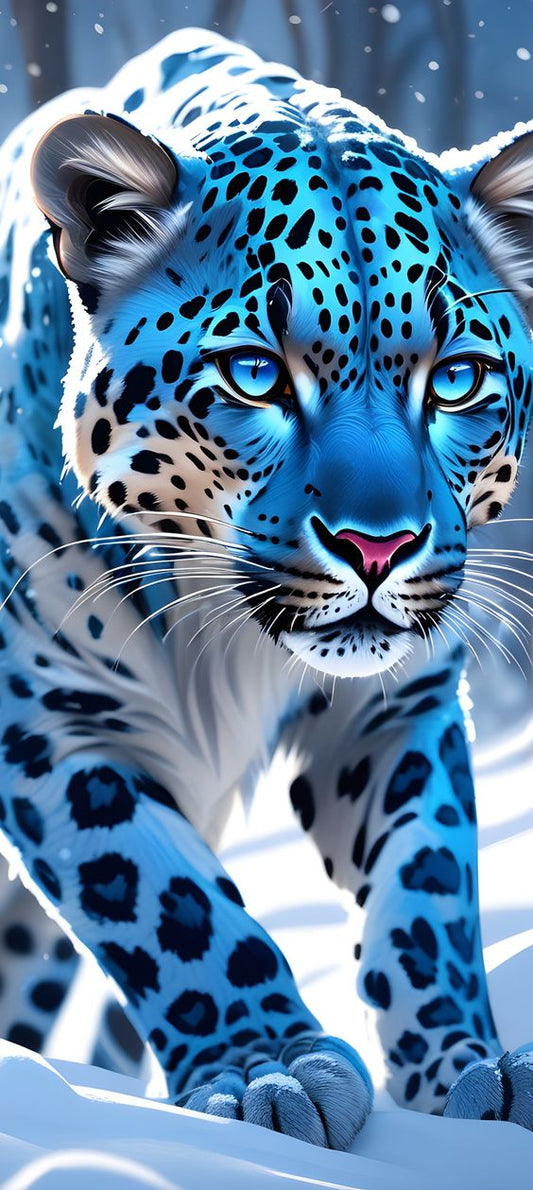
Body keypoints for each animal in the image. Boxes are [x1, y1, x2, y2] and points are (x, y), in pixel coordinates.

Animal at [0, 26, 532, 1150]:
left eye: (454, 379)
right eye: (255, 374)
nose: (378, 547)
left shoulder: (395, 706)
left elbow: (427, 893)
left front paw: (467, 1066)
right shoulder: (50, 722)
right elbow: (168, 902)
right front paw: (267, 1070)